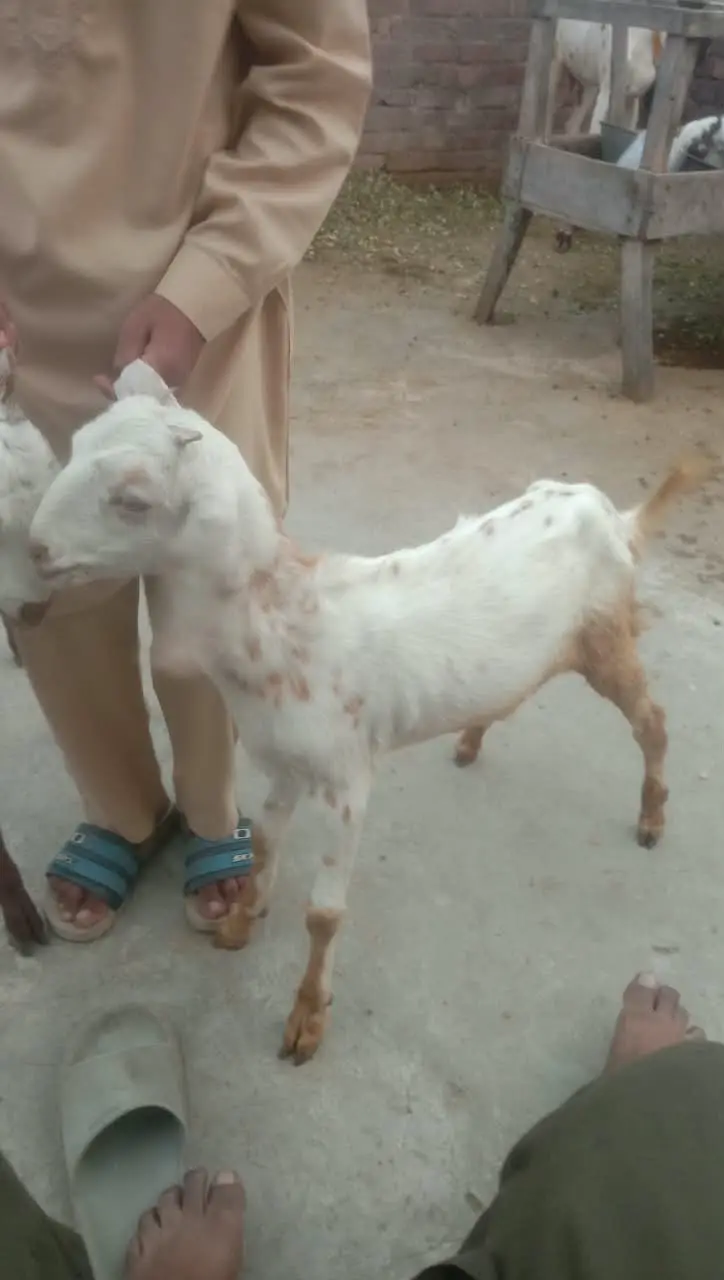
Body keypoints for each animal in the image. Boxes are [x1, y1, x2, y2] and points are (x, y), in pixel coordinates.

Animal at [27, 367, 713, 1063]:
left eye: (133, 500)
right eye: (74, 445)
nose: (34, 547)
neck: (283, 624)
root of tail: (616, 515)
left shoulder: (346, 777)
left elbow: (324, 914)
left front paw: (307, 1020)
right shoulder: (284, 762)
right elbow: (265, 844)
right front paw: (242, 922)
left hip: (605, 638)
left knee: (652, 721)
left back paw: (652, 817)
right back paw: (471, 740)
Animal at [551, 22, 666, 251]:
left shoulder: (633, 95)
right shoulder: (608, 88)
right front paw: (565, 232)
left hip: (587, 79)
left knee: (572, 124)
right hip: (558, 61)